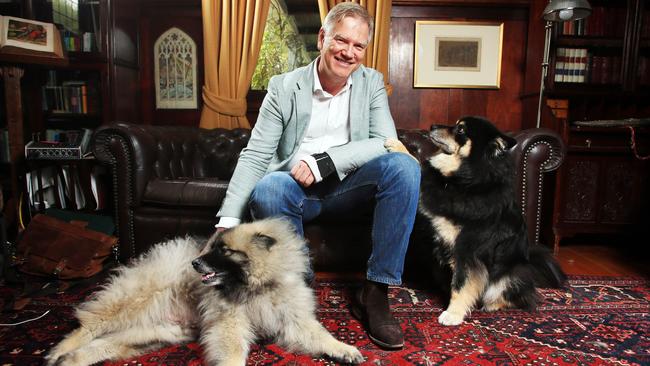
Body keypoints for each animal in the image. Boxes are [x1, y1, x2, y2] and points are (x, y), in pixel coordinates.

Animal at [404, 116, 560, 324]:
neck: (468, 179)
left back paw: (492, 305)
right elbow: (416, 165)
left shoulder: (467, 250)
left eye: (461, 130)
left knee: (517, 297)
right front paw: (394, 144)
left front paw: (453, 314)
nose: (432, 126)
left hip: (509, 275)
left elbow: (461, 284)